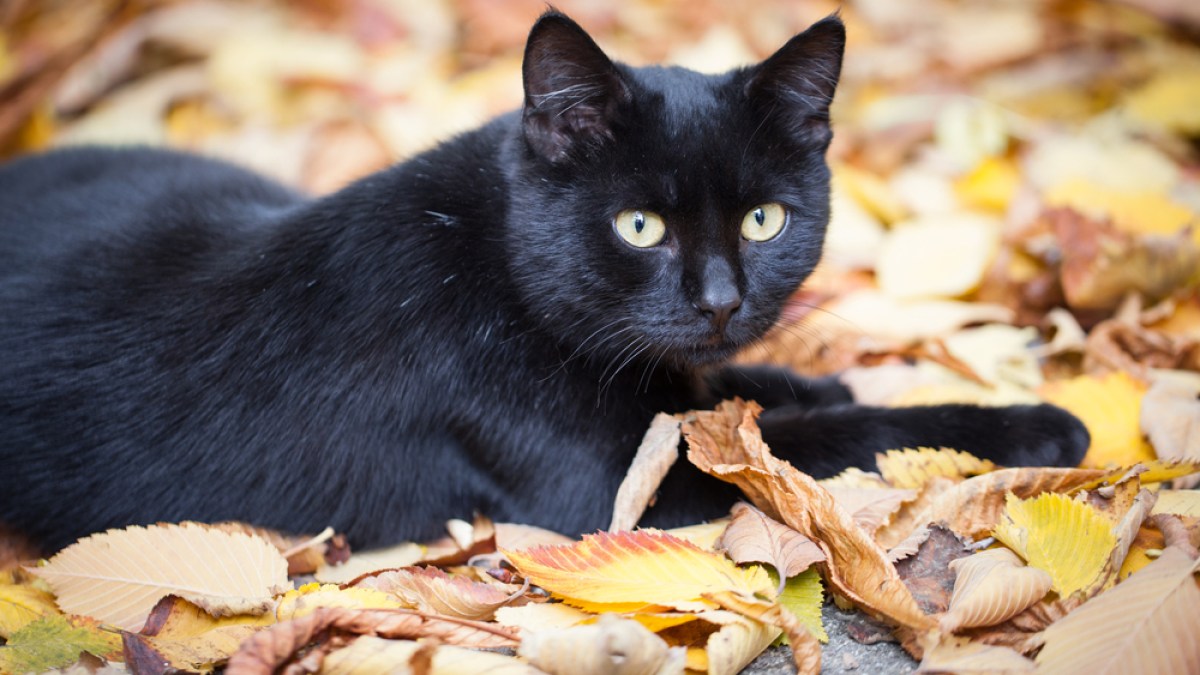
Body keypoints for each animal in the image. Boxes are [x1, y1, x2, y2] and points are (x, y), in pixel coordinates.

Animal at [0, 13, 1089, 552]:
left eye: (764, 220)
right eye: (639, 226)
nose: (721, 299)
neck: (493, 265)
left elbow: (728, 394)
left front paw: (801, 376)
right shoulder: (617, 487)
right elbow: (829, 439)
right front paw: (1028, 424)